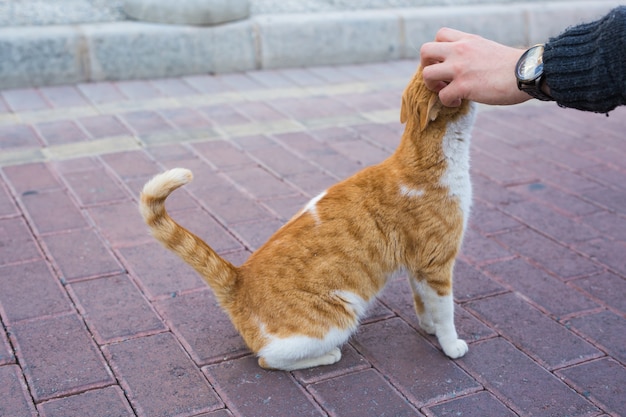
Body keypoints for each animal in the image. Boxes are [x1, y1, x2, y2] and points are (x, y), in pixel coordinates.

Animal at [140, 66, 472, 370]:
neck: (423, 160)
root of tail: (238, 278)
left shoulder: (418, 264)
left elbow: (423, 303)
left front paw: (428, 326)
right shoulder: (437, 264)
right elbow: (446, 312)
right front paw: (450, 344)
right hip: (340, 313)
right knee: (269, 360)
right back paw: (328, 356)